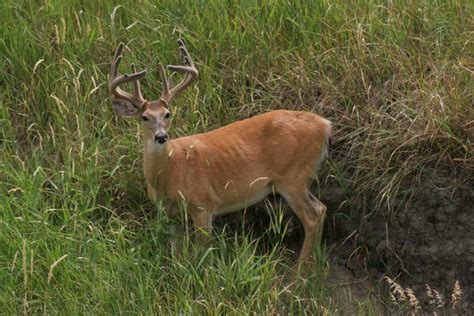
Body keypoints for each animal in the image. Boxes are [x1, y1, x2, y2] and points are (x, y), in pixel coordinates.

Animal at [110, 39, 334, 264]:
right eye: (144, 117)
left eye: (167, 114)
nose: (161, 136)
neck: (168, 175)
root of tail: (324, 125)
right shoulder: (170, 214)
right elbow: (178, 254)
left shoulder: (203, 203)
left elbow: (204, 250)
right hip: (300, 177)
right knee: (322, 209)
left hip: (292, 176)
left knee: (312, 216)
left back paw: (301, 269)